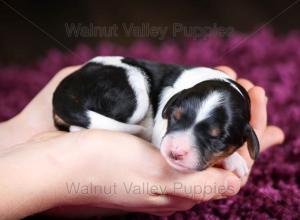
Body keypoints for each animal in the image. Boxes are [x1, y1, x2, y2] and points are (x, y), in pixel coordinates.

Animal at [52, 55, 258, 178]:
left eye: (218, 139)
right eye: (174, 117)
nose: (175, 151)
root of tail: (63, 88)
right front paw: (235, 160)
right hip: (135, 94)